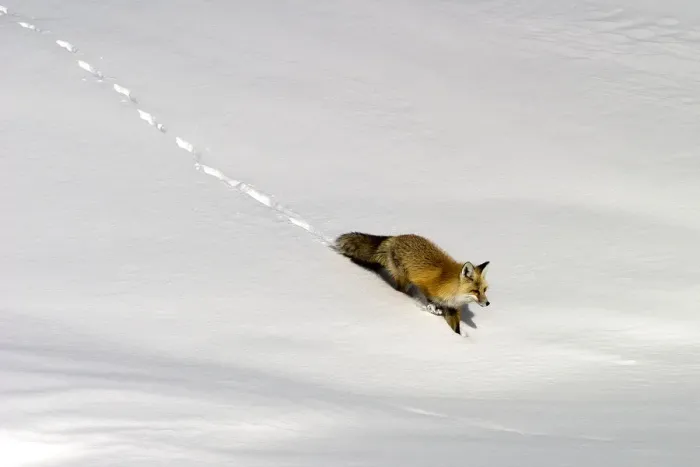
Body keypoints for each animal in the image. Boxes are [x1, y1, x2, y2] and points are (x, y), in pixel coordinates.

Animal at [334, 231, 490, 335]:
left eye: (484, 290)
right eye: (475, 291)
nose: (488, 303)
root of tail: (395, 237)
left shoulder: (452, 308)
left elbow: (456, 329)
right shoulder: (428, 290)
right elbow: (431, 303)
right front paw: (432, 310)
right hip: (404, 280)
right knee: (400, 290)